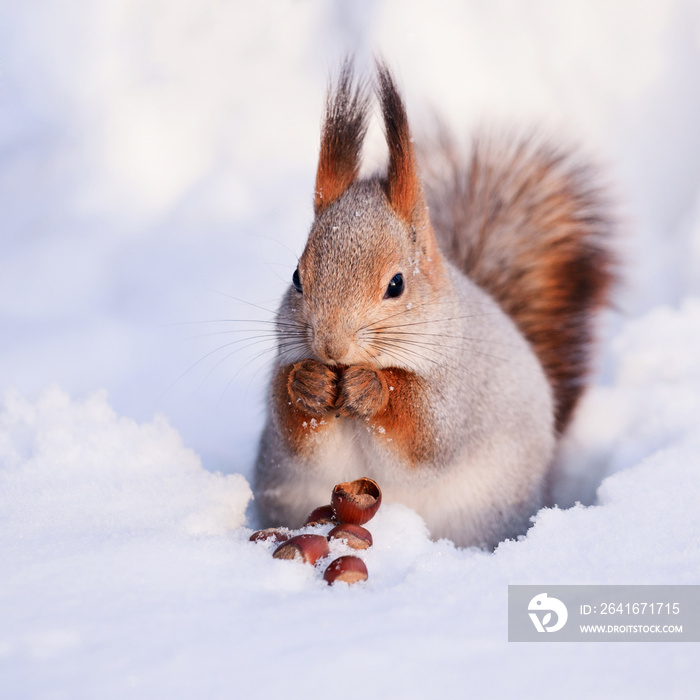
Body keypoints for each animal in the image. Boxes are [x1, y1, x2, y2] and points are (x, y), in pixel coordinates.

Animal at [250, 61, 612, 548]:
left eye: (397, 284)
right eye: (296, 279)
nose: (331, 347)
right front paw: (307, 382)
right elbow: (292, 430)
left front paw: (373, 388)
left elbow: (425, 436)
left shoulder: (460, 391)